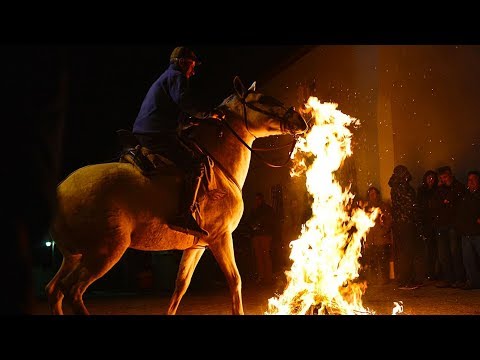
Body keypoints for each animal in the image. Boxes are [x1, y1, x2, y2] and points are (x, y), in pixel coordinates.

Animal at [46, 76, 308, 316]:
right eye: (262, 99)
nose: (301, 121)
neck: (220, 169)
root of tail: (60, 190)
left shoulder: (197, 246)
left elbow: (181, 285)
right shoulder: (221, 238)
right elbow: (235, 280)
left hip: (73, 256)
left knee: (54, 290)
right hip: (104, 252)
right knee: (72, 291)